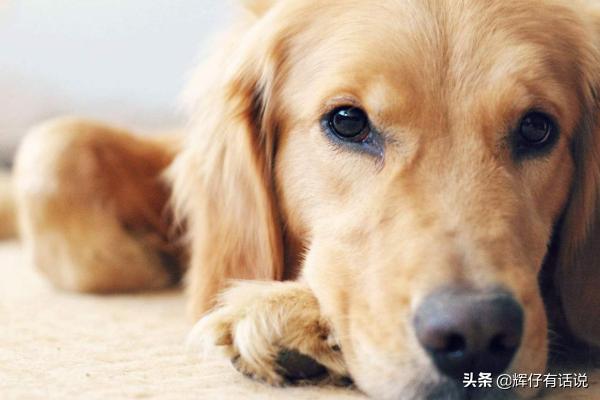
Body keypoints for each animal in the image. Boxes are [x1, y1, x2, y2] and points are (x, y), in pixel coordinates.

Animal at [3, 0, 600, 399]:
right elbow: (53, 146)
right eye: (348, 121)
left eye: (537, 129)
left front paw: (293, 314)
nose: (475, 337)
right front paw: (160, 258)